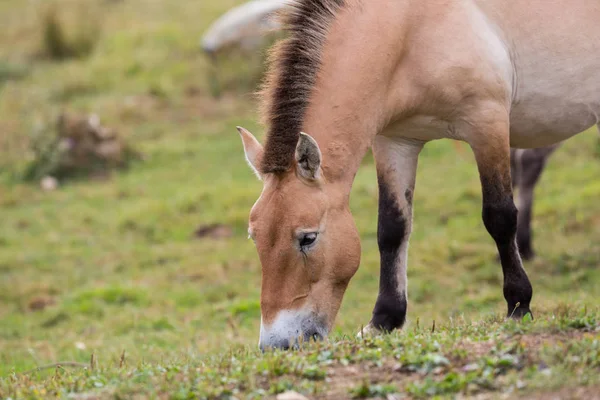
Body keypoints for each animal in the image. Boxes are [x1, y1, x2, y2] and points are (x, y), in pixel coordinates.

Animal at [238, 0, 600, 350]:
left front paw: (518, 306)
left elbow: (499, 217)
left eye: (308, 238)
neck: (411, 28)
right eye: (254, 238)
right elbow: (392, 228)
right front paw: (384, 319)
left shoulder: (487, 122)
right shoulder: (394, 141)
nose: (277, 344)